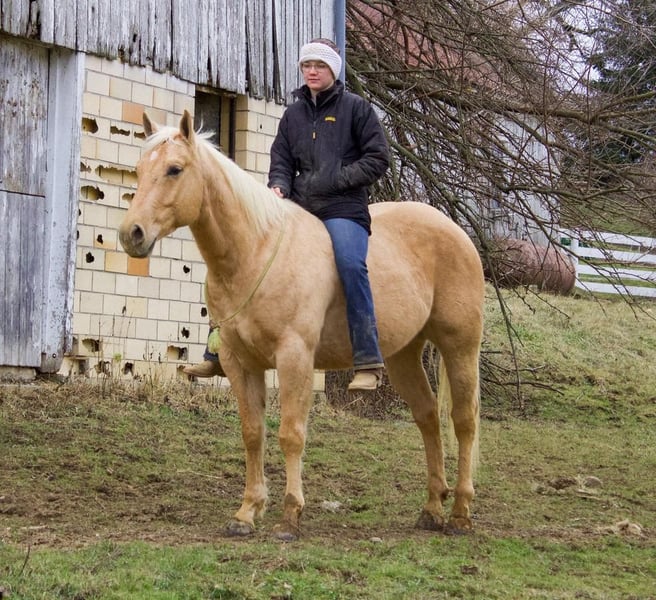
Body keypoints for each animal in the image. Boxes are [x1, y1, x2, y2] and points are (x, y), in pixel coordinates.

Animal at [118, 110, 485, 541]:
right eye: (139, 170)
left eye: (175, 169)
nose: (131, 234)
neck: (256, 253)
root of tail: (454, 230)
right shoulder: (240, 363)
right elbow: (253, 433)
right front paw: (247, 511)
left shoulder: (294, 358)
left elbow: (291, 434)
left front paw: (290, 514)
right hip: (403, 355)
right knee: (427, 416)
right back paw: (432, 508)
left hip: (460, 346)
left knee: (464, 421)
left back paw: (460, 511)